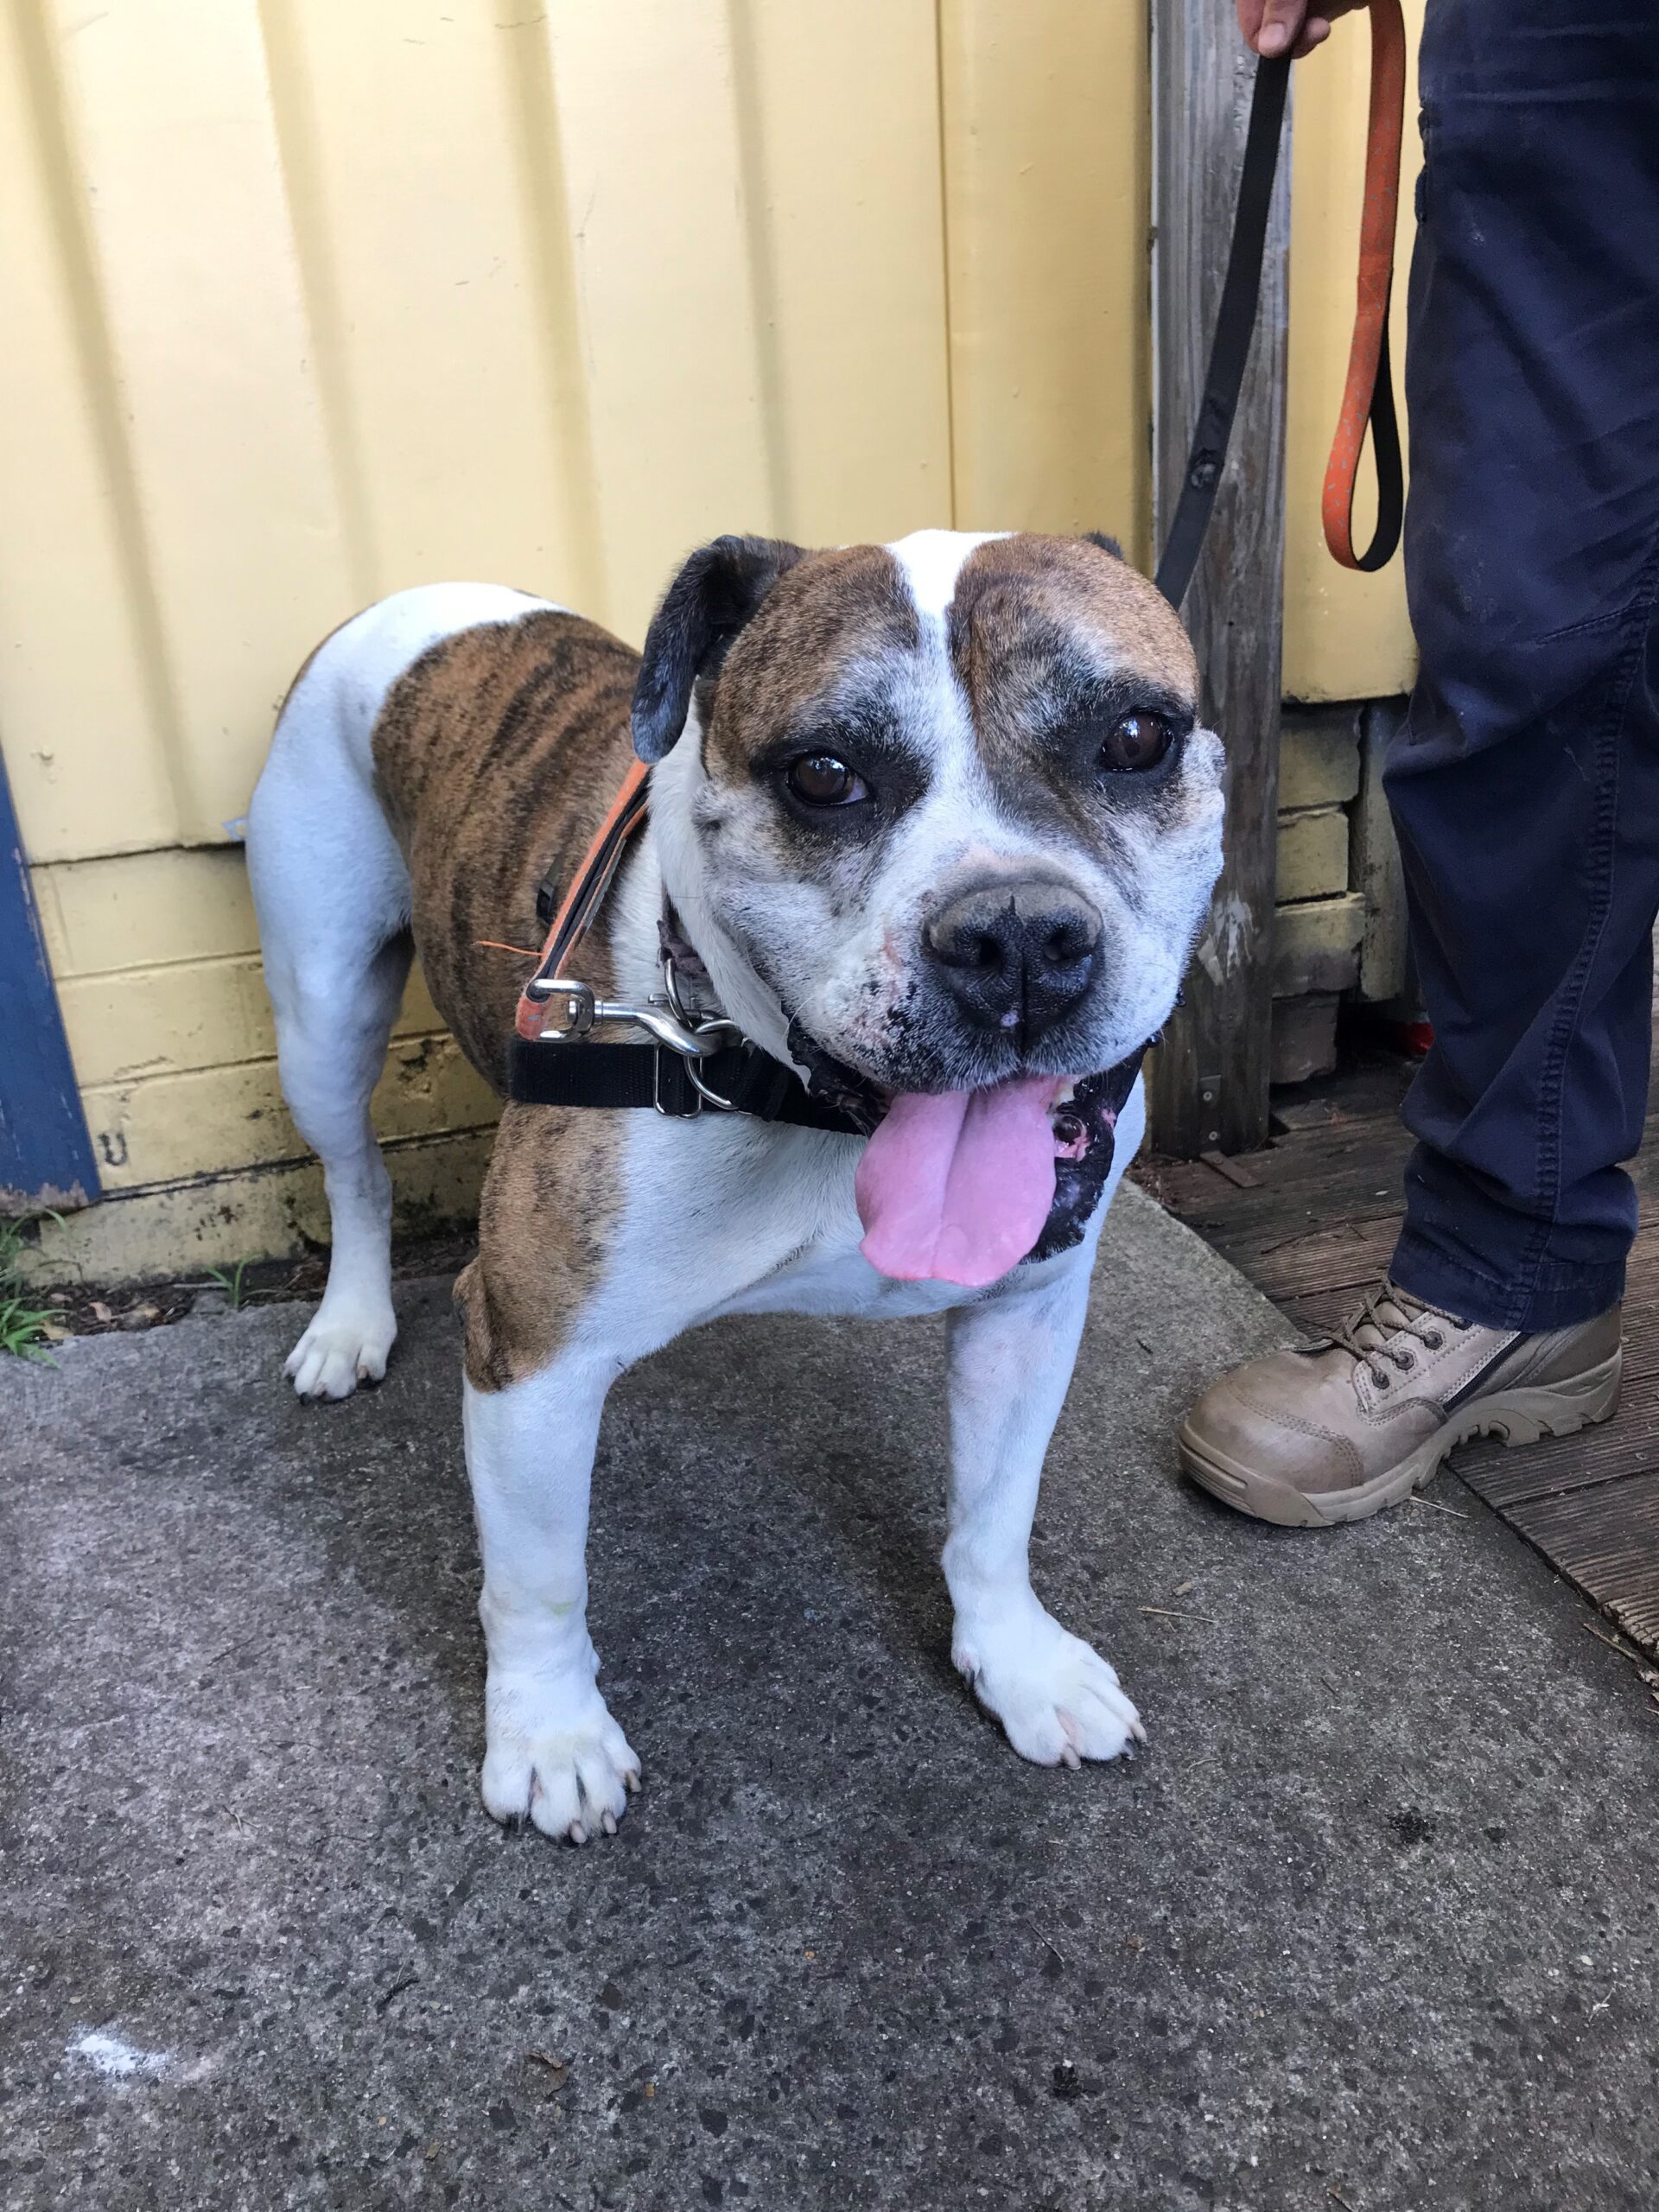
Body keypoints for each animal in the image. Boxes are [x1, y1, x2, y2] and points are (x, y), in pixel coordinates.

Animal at [246, 529, 1223, 1842]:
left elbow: (994, 1513)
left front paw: (1017, 1662)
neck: (807, 1106)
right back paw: (349, 1324)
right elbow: (538, 1580)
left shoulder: (1027, 1313)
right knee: (353, 1172)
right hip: (322, 1013)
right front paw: (551, 1735)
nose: (1016, 933)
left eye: (1135, 737)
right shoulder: (532, 1357)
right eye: (824, 774)